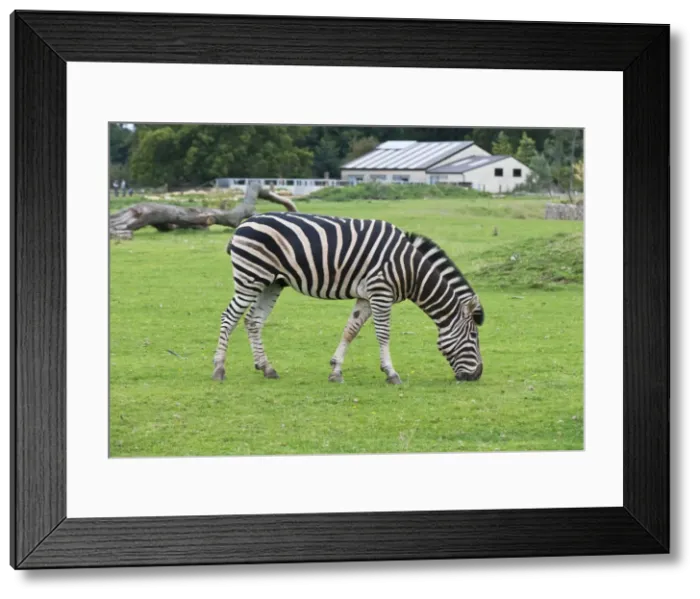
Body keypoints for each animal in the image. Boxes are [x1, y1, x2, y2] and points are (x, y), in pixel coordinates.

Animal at [212, 211, 485, 385]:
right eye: (474, 337)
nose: (477, 375)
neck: (411, 269)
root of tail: (243, 224)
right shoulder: (381, 292)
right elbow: (383, 334)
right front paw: (391, 373)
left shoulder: (366, 296)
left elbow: (350, 330)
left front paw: (336, 371)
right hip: (250, 277)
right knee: (228, 317)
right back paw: (219, 369)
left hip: (271, 282)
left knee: (253, 321)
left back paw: (267, 368)